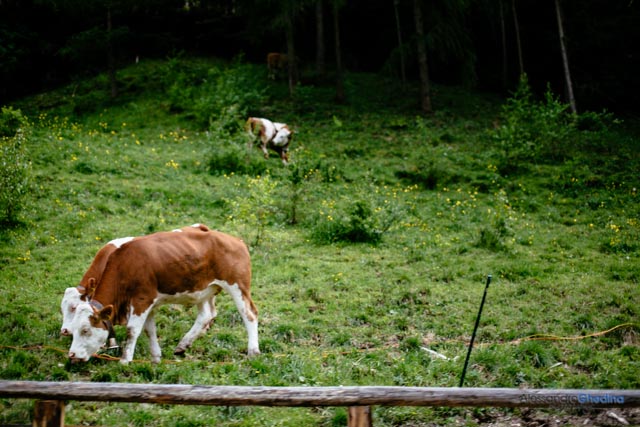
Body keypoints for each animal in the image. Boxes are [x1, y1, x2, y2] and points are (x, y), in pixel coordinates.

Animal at [68, 224, 260, 364]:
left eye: (85, 330)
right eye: (74, 329)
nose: (71, 355)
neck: (126, 264)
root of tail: (236, 240)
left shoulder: (141, 300)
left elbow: (132, 330)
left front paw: (125, 360)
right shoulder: (149, 304)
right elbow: (149, 330)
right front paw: (156, 358)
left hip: (238, 286)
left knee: (249, 314)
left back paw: (253, 351)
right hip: (204, 290)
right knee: (206, 315)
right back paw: (183, 344)